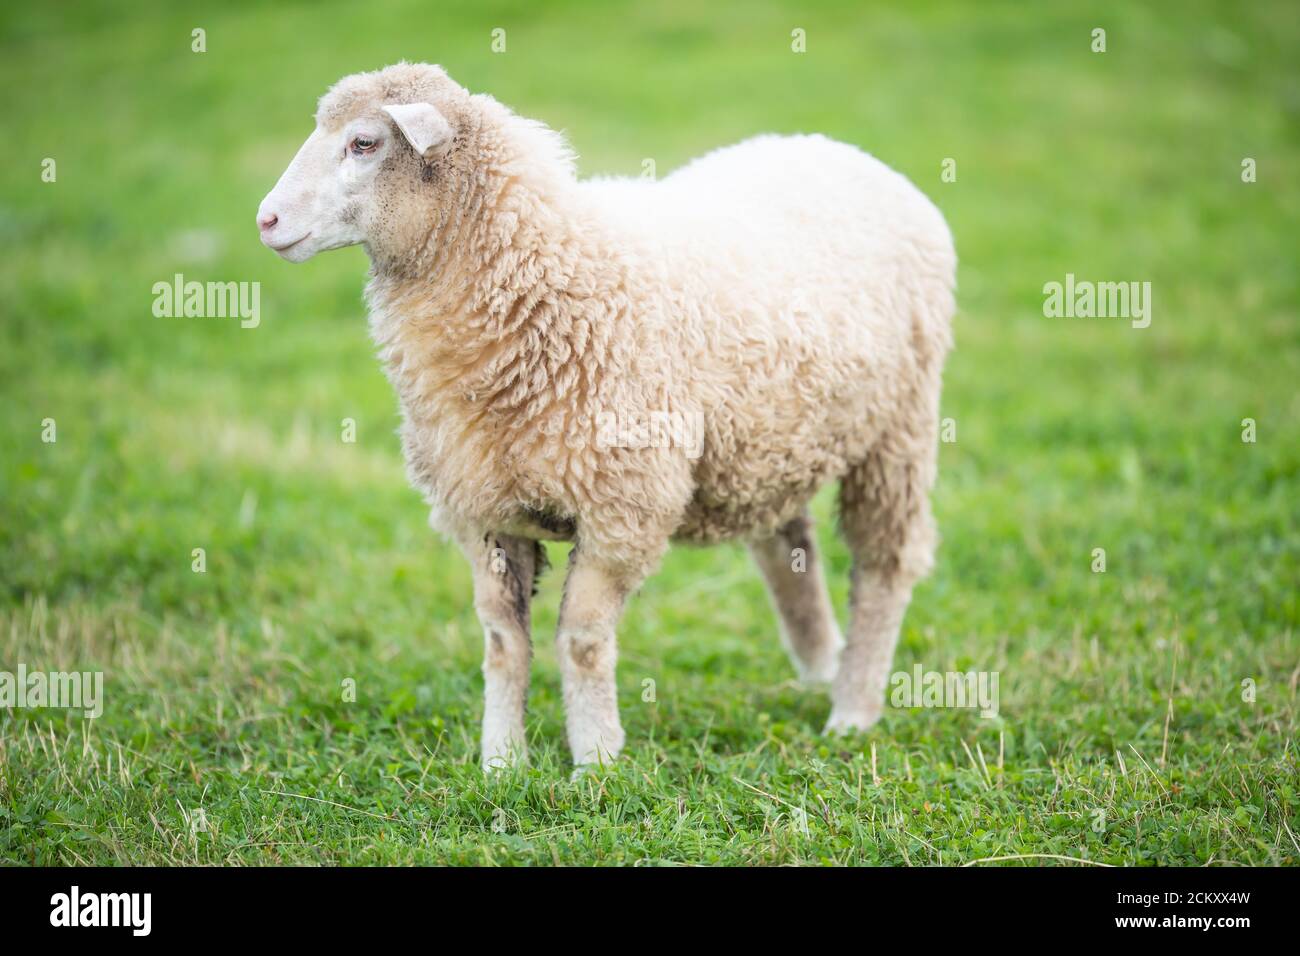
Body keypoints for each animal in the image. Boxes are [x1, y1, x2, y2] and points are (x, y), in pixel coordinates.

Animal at [257, 62, 956, 770]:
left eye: (364, 143)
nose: (265, 221)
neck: (548, 274)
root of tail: (838, 149)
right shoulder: (483, 509)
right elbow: (502, 642)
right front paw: (501, 762)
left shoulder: (623, 506)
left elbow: (582, 640)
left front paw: (596, 760)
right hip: (773, 439)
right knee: (789, 547)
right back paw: (819, 669)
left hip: (898, 430)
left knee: (884, 567)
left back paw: (853, 709)